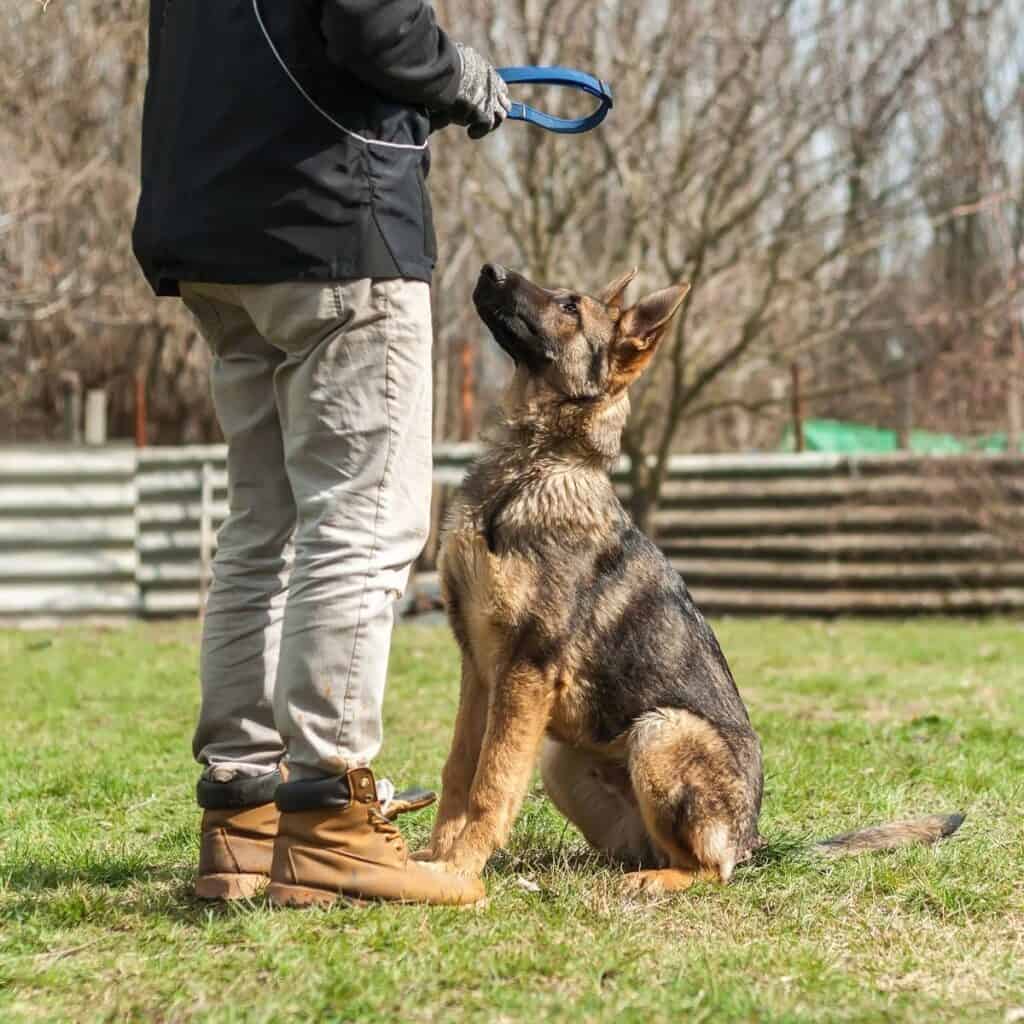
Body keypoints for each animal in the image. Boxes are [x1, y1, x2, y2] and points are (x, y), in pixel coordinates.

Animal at [413, 266, 958, 897]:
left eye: (570, 306)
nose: (489, 270)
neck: (532, 464)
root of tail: (754, 842)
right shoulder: (479, 668)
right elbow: (459, 772)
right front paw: (432, 862)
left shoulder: (525, 666)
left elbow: (491, 783)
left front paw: (458, 871)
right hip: (561, 758)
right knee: (643, 850)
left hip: (660, 730)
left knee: (709, 869)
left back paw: (655, 881)